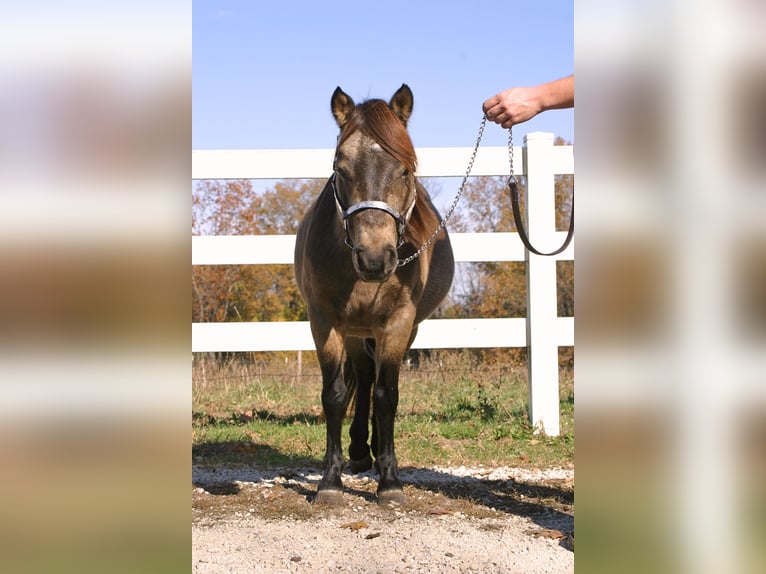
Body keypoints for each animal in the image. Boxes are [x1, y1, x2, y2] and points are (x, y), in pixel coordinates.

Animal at [294, 84, 455, 505]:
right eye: (340, 167)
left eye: (405, 169)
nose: (374, 258)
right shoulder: (325, 323)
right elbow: (335, 395)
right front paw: (330, 481)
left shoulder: (398, 325)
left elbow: (388, 395)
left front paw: (391, 479)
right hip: (354, 330)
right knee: (364, 377)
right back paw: (359, 452)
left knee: (376, 382)